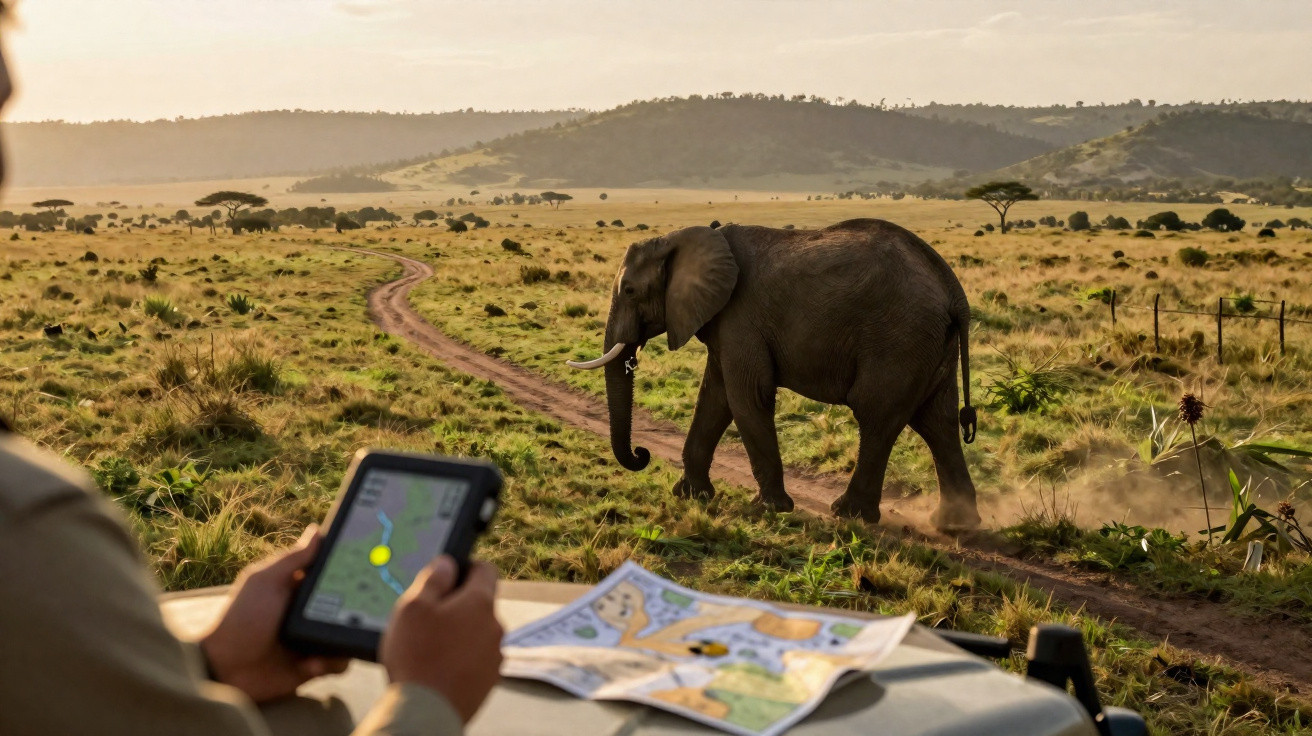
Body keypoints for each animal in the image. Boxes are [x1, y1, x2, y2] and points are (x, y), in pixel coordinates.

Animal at [567, 219, 981, 531]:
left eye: (630, 290)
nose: (642, 452)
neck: (680, 238)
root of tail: (954, 290)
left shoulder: (741, 316)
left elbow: (746, 396)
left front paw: (770, 508)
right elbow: (715, 397)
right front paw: (691, 495)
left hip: (899, 341)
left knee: (878, 416)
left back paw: (848, 514)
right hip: (928, 346)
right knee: (938, 422)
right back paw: (955, 524)